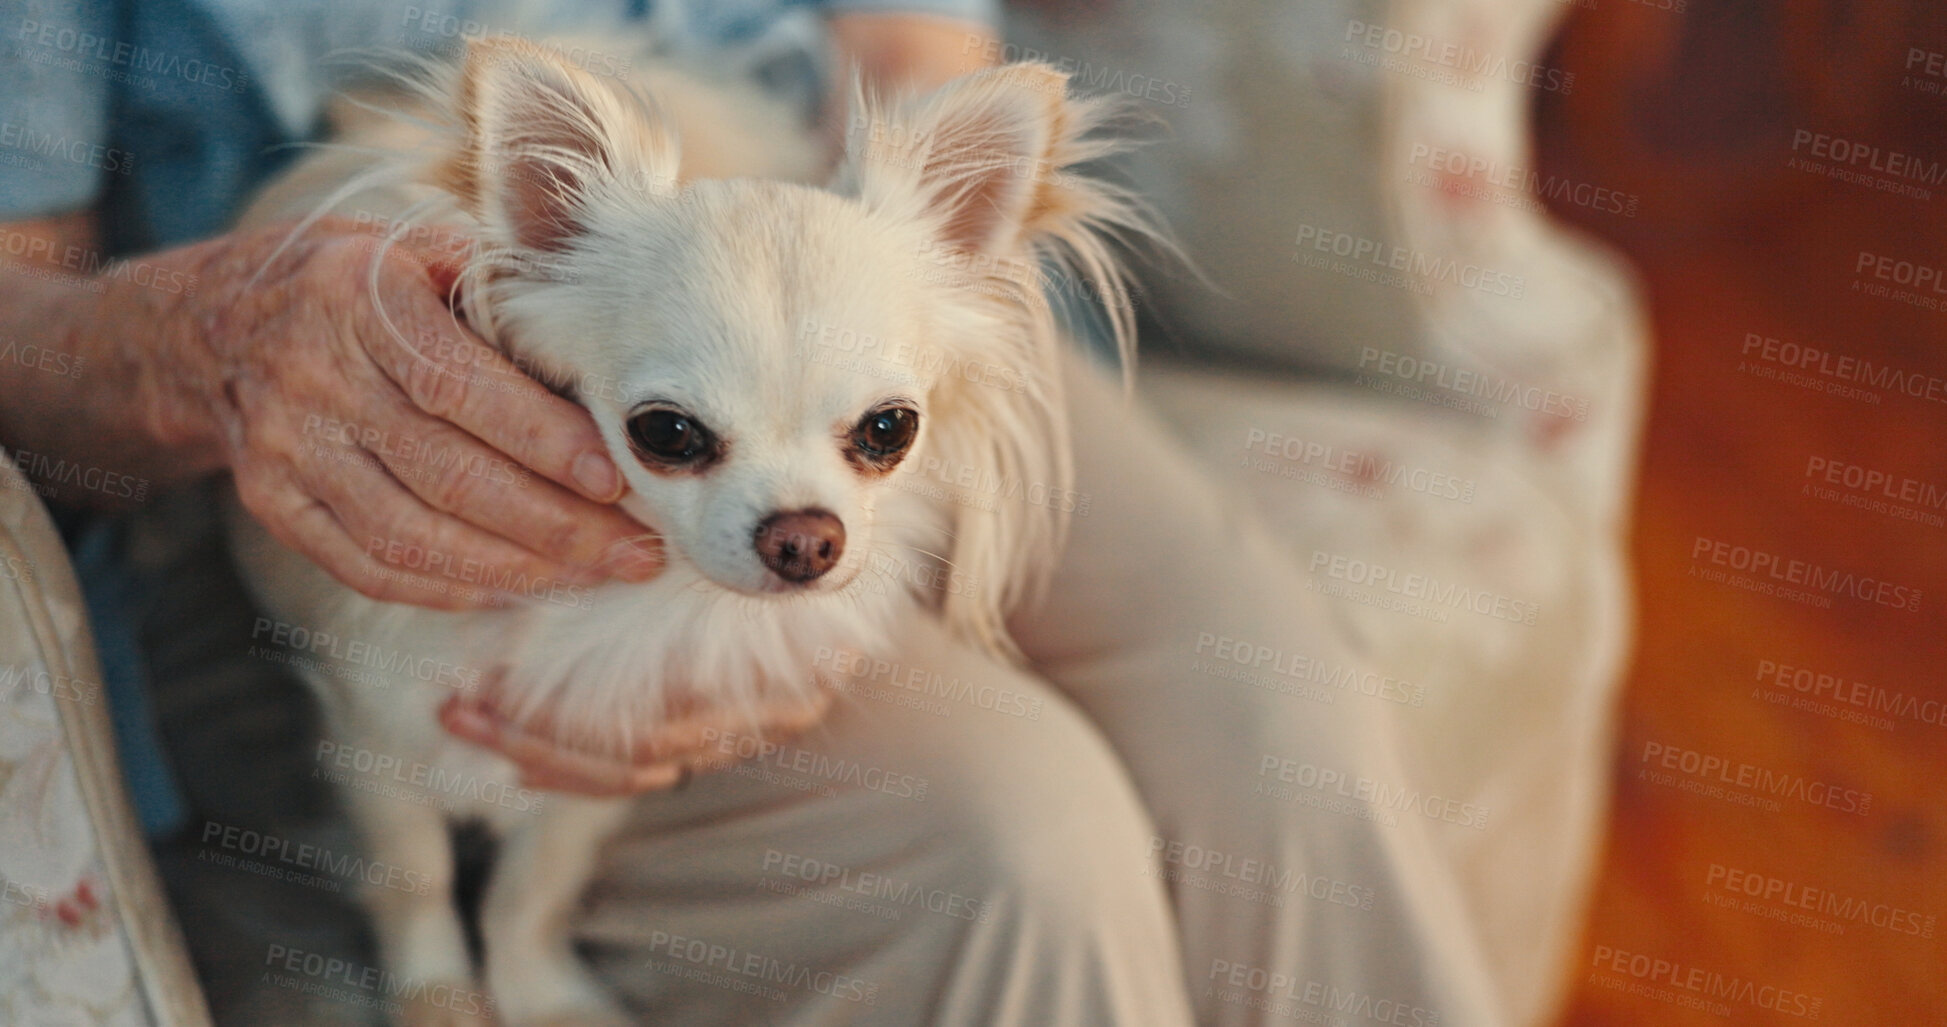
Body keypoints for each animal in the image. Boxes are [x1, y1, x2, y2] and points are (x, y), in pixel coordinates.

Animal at [225, 36, 1144, 1021]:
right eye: (666, 432)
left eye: (889, 428)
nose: (804, 538)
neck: (645, 598)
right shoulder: (371, 739)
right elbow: (415, 879)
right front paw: (439, 997)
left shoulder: (600, 748)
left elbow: (532, 887)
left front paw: (539, 993)